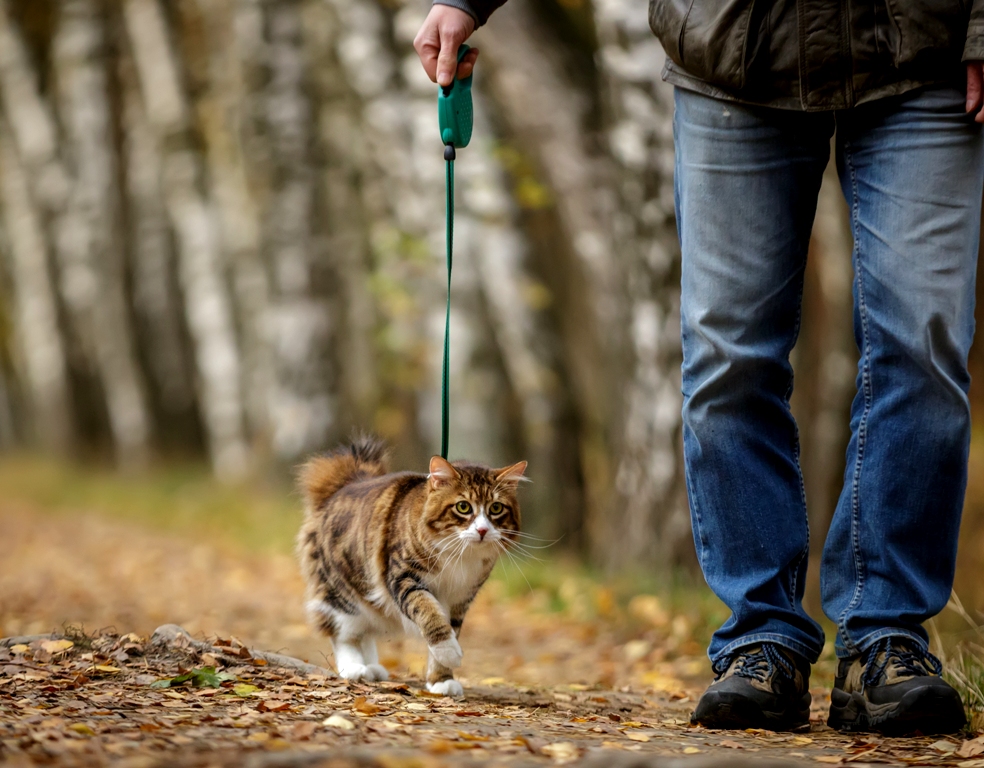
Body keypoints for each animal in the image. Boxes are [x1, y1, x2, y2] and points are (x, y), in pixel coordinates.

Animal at [296, 438, 528, 696]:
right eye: (463, 507)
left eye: (496, 509)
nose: (483, 530)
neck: (460, 556)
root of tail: (347, 483)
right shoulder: (404, 578)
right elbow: (430, 615)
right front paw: (450, 653)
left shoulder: (460, 599)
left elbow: (449, 629)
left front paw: (441, 680)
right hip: (343, 595)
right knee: (345, 634)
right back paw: (356, 668)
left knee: (364, 635)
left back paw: (373, 667)